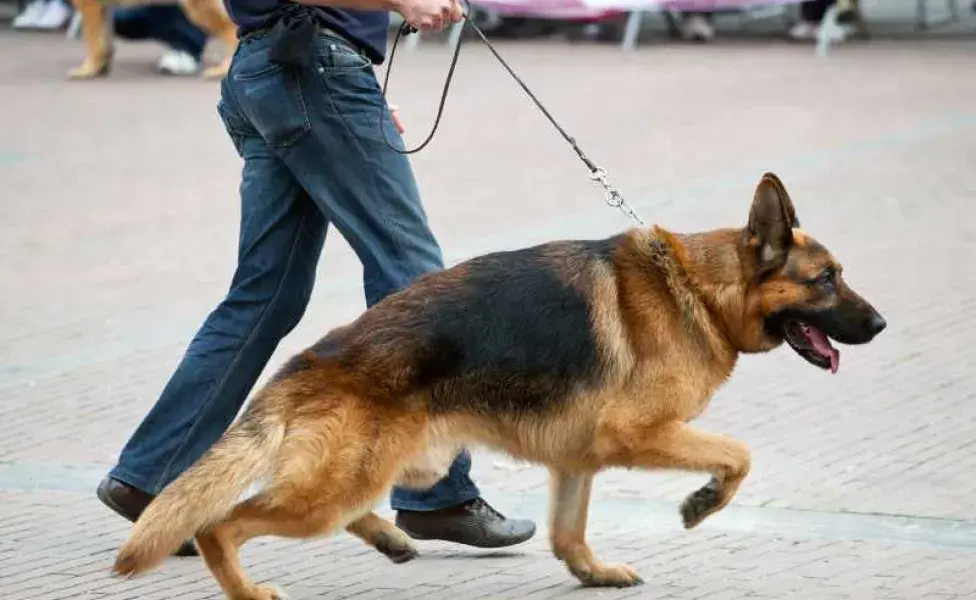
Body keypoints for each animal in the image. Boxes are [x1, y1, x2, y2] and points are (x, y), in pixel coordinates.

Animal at [65, 0, 236, 79]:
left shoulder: (90, 8)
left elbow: (93, 44)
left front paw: (87, 70)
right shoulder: (102, 9)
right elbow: (104, 44)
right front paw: (100, 69)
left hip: (199, 8)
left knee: (231, 31)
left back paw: (223, 70)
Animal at [112, 171, 884, 596]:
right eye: (826, 280)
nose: (880, 324)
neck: (698, 287)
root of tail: (311, 359)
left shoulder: (578, 461)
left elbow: (569, 535)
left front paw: (593, 574)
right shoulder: (639, 434)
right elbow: (738, 456)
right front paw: (701, 504)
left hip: (399, 469)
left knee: (351, 509)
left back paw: (390, 540)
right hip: (336, 489)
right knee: (222, 523)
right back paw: (249, 589)